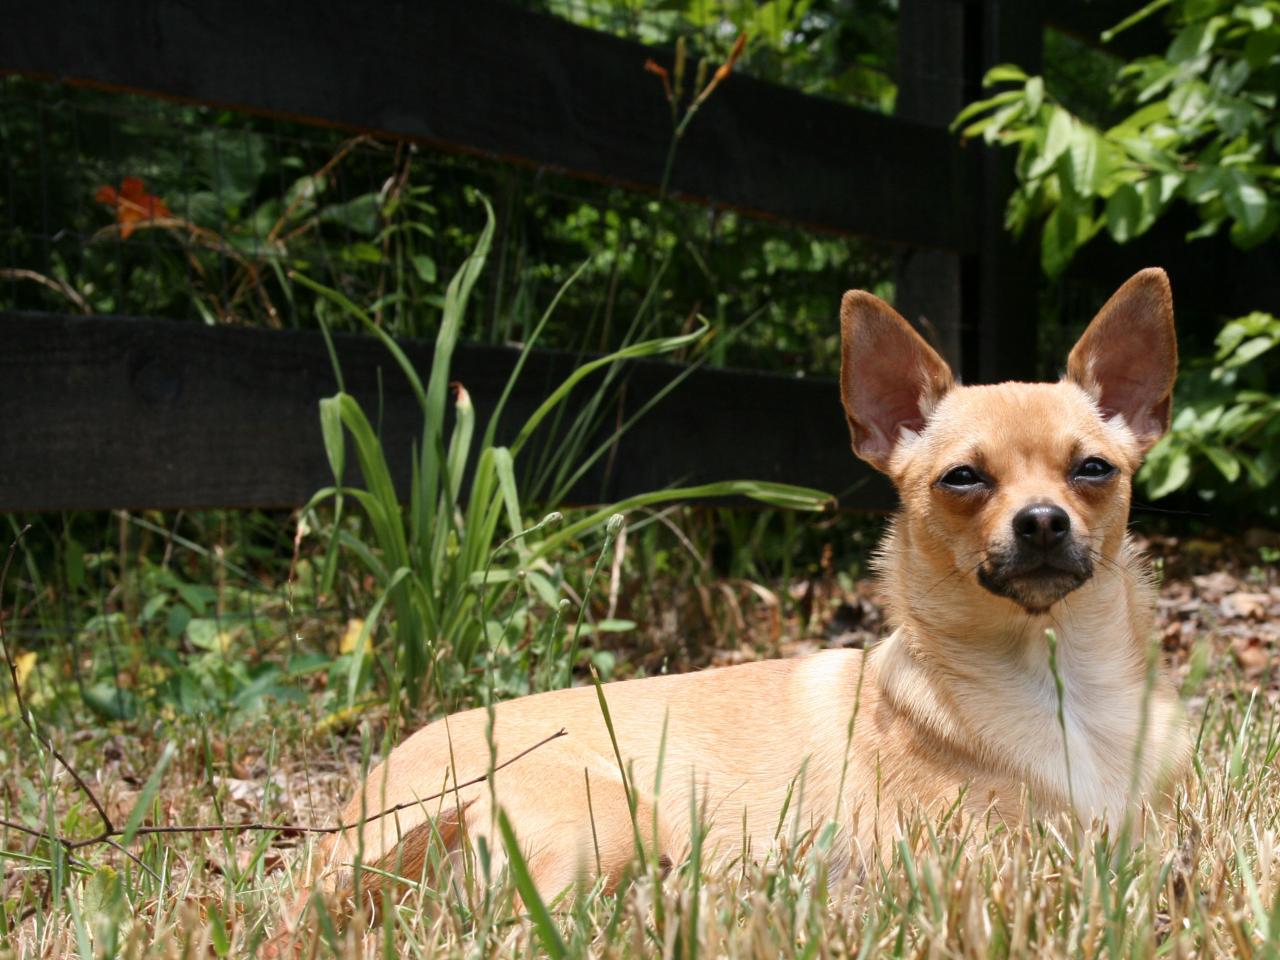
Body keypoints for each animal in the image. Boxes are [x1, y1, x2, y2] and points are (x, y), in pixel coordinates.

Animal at [285, 268, 1182, 926]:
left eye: (1094, 469)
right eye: (962, 479)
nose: (1042, 522)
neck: (1049, 677)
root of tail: (338, 842)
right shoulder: (983, 861)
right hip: (609, 822)